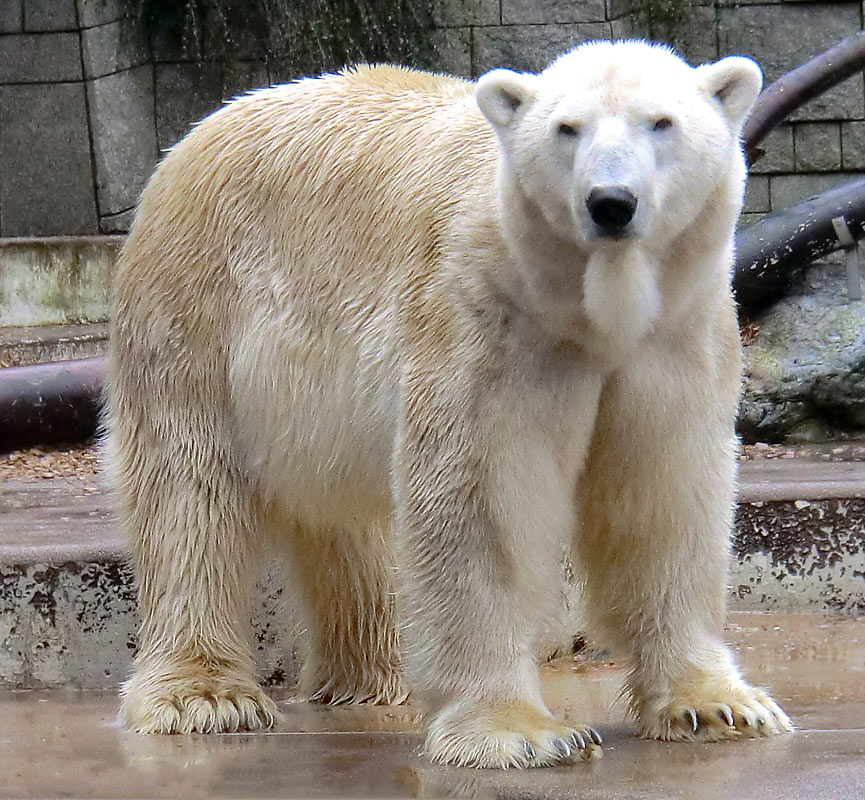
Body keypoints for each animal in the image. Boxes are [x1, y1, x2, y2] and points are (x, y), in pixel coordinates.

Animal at [106, 39, 788, 768]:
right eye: (566, 128)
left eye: (660, 122)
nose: (611, 202)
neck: (588, 312)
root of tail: (196, 135)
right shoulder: (488, 319)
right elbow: (484, 502)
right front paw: (519, 731)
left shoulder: (676, 335)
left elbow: (663, 493)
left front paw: (718, 705)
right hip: (196, 313)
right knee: (190, 494)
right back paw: (204, 695)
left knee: (347, 519)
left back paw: (375, 677)